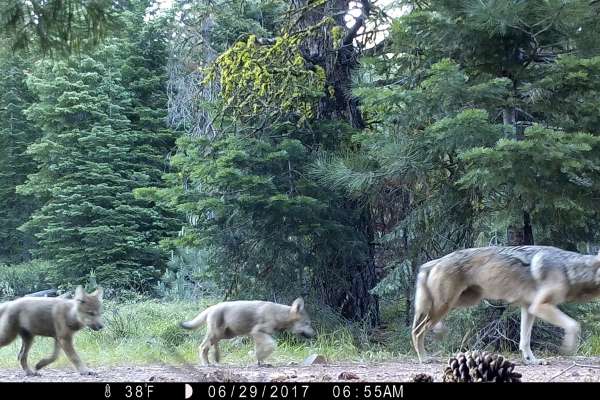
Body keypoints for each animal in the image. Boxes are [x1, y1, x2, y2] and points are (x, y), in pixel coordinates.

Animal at [182, 296, 314, 366]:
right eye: (307, 323)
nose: (314, 334)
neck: (278, 315)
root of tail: (211, 307)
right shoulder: (257, 332)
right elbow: (271, 345)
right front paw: (260, 360)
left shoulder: (260, 335)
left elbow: (260, 350)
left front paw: (260, 362)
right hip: (217, 334)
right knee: (203, 347)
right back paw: (206, 363)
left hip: (224, 335)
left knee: (212, 346)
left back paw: (216, 360)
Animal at [412, 245, 600, 364]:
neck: (569, 269)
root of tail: (434, 262)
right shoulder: (540, 306)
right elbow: (574, 325)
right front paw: (569, 347)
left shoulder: (529, 308)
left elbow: (525, 340)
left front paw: (532, 361)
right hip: (445, 305)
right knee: (417, 331)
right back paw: (424, 358)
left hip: (463, 301)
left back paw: (438, 333)